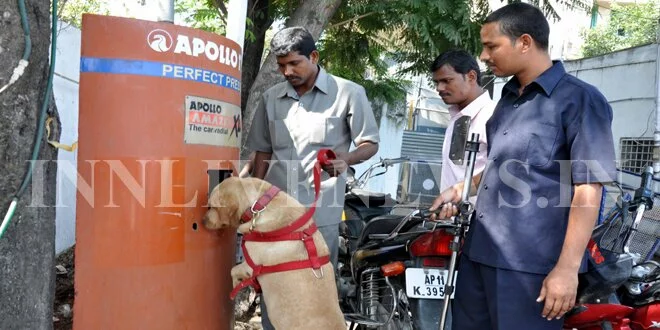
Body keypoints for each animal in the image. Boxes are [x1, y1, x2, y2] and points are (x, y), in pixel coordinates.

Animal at [202, 177, 346, 328]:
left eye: (211, 206)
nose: (202, 221)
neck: (259, 204)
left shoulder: (251, 265)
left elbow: (233, 270)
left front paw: (236, 284)